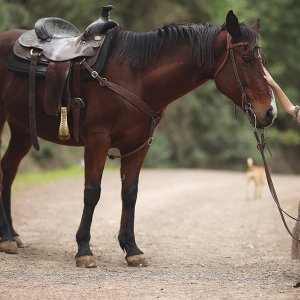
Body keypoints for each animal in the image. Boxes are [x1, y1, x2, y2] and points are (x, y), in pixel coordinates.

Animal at [0, 10, 276, 268]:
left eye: (262, 60)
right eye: (247, 59)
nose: (270, 111)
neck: (135, 77)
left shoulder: (138, 146)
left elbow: (130, 193)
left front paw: (132, 249)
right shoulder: (97, 141)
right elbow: (92, 192)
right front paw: (84, 249)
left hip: (23, 129)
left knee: (9, 169)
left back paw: (10, 235)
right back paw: (7, 237)